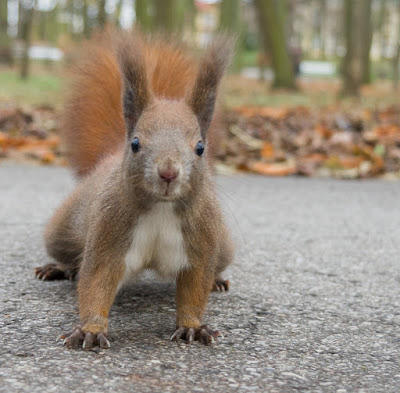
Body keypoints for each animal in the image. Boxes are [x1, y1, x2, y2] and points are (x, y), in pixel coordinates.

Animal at [35, 30, 234, 350]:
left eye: (201, 148)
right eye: (136, 143)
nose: (168, 173)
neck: (161, 209)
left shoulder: (202, 237)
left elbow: (195, 287)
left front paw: (193, 326)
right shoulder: (109, 229)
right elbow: (96, 280)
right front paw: (90, 329)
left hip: (223, 245)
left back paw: (218, 280)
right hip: (64, 231)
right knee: (67, 252)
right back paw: (58, 268)